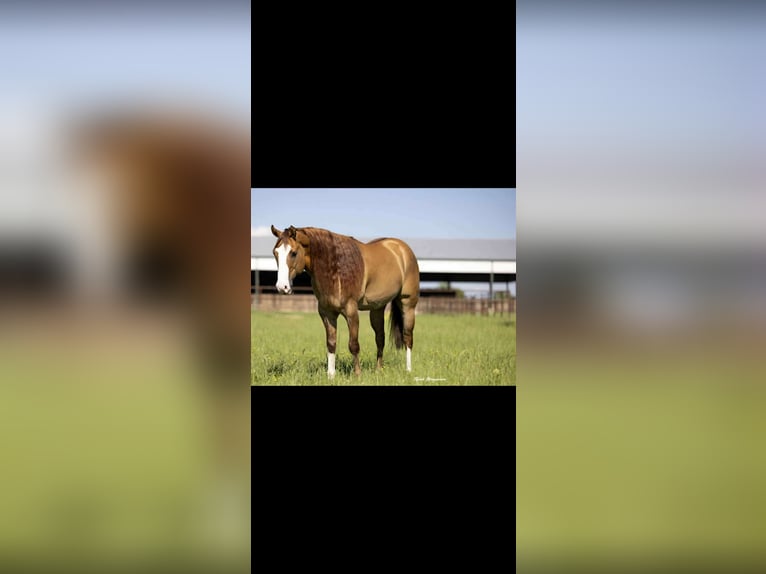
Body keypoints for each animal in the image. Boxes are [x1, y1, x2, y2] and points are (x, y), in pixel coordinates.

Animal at [270, 225, 420, 378]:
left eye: (293, 253)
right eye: (275, 253)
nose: (282, 287)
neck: (336, 268)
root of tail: (402, 249)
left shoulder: (351, 311)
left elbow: (353, 344)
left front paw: (357, 374)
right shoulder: (327, 313)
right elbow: (331, 343)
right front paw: (331, 375)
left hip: (408, 304)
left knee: (408, 337)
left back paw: (408, 370)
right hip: (377, 308)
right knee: (380, 338)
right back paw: (378, 370)